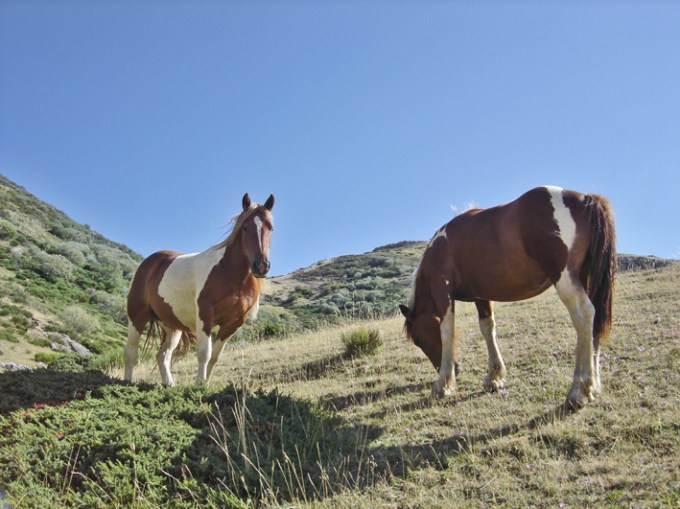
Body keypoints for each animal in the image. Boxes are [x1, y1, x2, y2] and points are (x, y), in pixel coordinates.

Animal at [124, 193, 275, 386]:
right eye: (245, 227)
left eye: (271, 228)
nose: (261, 266)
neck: (231, 273)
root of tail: (150, 262)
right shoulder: (205, 316)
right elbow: (204, 353)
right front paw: (198, 386)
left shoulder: (233, 324)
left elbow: (215, 357)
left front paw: (205, 385)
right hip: (137, 316)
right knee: (131, 352)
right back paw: (127, 383)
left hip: (172, 326)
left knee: (162, 355)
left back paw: (169, 385)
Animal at [400, 186, 616, 409]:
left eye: (418, 339)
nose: (457, 369)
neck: (441, 247)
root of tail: (586, 199)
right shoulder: (481, 296)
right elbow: (487, 329)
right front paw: (494, 378)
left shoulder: (443, 293)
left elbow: (447, 332)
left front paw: (442, 384)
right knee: (594, 321)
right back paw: (593, 387)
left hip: (565, 279)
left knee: (583, 315)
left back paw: (578, 390)